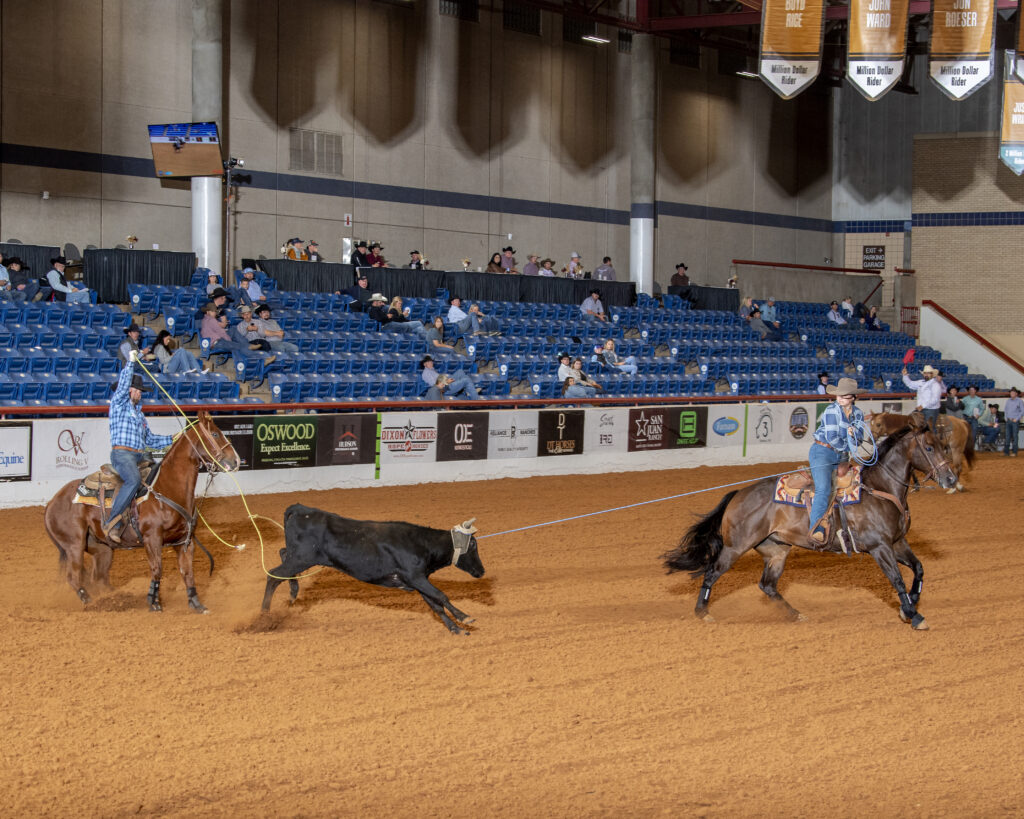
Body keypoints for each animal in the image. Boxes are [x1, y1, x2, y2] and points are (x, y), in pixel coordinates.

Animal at [43, 411, 240, 613]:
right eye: (215, 434)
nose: (236, 461)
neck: (167, 487)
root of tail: (52, 502)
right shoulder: (152, 538)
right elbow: (157, 569)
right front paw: (154, 602)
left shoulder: (185, 541)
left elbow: (187, 572)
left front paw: (196, 604)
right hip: (74, 545)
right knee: (74, 577)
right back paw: (90, 602)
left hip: (101, 548)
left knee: (98, 577)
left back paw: (112, 598)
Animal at [261, 504, 486, 634]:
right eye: (473, 546)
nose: (481, 571)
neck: (421, 543)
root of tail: (300, 509)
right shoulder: (415, 576)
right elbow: (441, 596)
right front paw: (465, 617)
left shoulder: (417, 580)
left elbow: (435, 604)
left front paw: (455, 628)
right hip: (302, 558)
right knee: (273, 576)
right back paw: (264, 617)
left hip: (297, 557)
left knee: (282, 555)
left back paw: (293, 592)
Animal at [662, 415, 956, 630]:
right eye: (929, 447)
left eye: (945, 446)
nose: (951, 479)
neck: (880, 488)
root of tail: (738, 494)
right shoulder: (879, 547)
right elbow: (896, 579)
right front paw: (913, 615)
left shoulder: (897, 542)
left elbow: (918, 569)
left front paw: (912, 605)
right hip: (736, 547)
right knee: (712, 572)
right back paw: (703, 613)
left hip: (776, 550)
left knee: (767, 585)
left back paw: (795, 615)